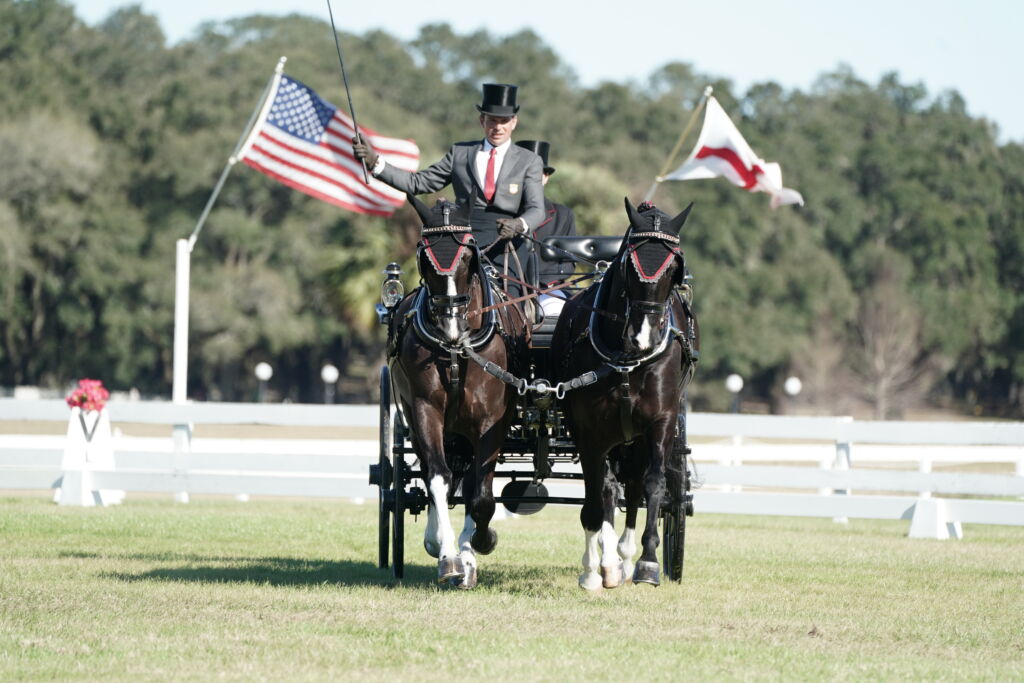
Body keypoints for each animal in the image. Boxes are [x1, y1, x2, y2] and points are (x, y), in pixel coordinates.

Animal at [385, 193, 528, 589]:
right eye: (424, 254)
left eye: (467, 253)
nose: (450, 323)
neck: (454, 349)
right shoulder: (424, 409)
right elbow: (438, 476)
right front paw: (447, 555)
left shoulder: (492, 420)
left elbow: (481, 495)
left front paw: (480, 541)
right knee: (439, 475)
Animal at [552, 196, 696, 589]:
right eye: (630, 265)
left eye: (674, 267)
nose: (644, 336)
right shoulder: (589, 432)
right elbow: (595, 497)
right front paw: (593, 569)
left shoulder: (661, 422)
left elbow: (653, 485)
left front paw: (647, 562)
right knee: (609, 488)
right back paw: (610, 563)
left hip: (635, 438)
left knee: (632, 487)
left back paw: (628, 557)